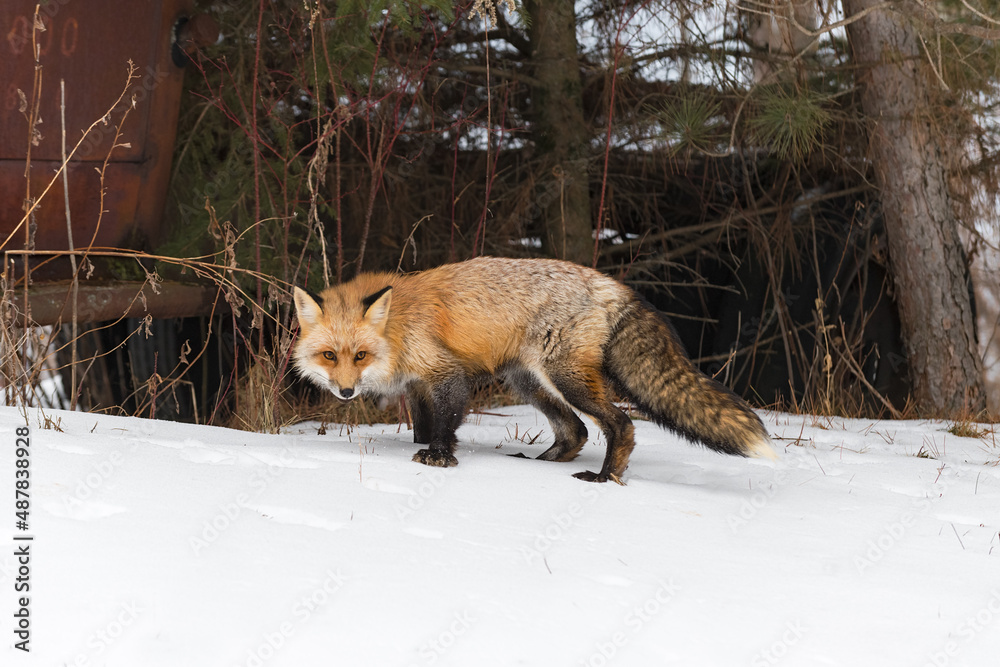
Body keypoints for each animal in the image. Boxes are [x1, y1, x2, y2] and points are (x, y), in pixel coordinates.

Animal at [292, 256, 775, 484]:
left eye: (360, 356)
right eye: (330, 356)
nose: (346, 393)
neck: (397, 329)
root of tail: (609, 283)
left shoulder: (447, 374)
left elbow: (446, 424)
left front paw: (440, 457)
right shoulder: (417, 387)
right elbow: (423, 428)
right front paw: (428, 448)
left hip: (566, 378)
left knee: (620, 424)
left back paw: (605, 478)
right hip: (526, 380)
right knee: (576, 430)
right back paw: (543, 464)